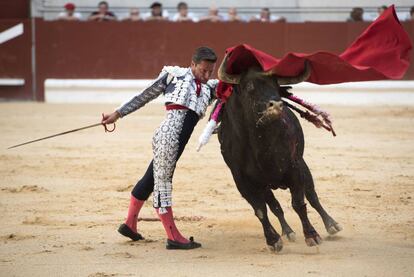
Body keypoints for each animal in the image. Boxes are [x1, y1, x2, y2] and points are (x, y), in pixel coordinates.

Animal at [218, 55, 342, 250]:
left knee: (312, 196)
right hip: (265, 185)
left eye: (276, 86)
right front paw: (273, 240)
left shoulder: (294, 168)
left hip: (303, 166)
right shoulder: (243, 181)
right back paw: (288, 231)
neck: (259, 142)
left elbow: (299, 203)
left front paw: (312, 235)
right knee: (275, 206)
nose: (276, 105)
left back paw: (331, 225)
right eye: (249, 87)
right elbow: (261, 210)